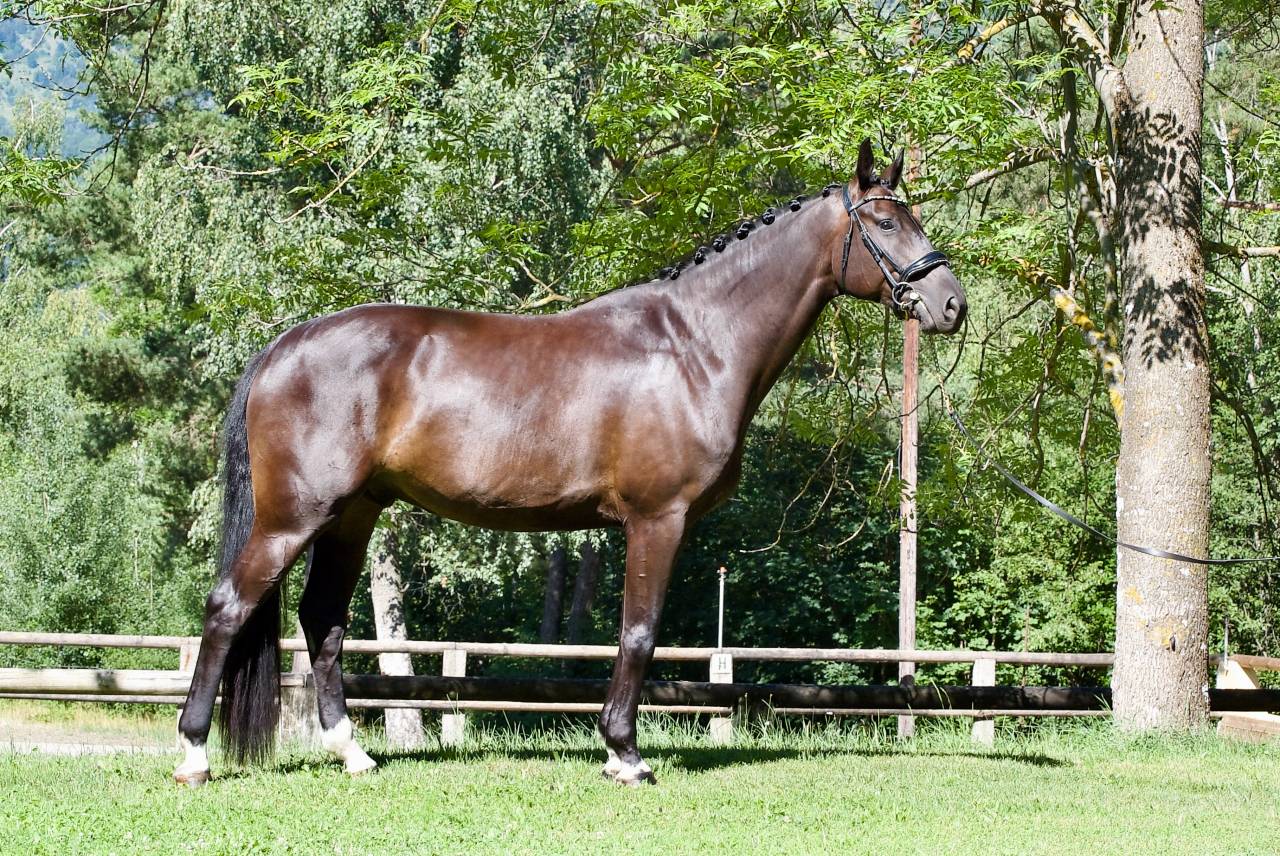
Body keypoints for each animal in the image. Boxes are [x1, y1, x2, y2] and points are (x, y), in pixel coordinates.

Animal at [173, 140, 966, 787]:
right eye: (885, 222)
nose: (952, 304)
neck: (695, 344)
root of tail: (284, 346)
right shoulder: (658, 519)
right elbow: (639, 634)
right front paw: (625, 755)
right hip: (294, 516)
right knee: (229, 606)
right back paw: (193, 755)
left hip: (352, 514)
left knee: (324, 621)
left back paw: (353, 753)